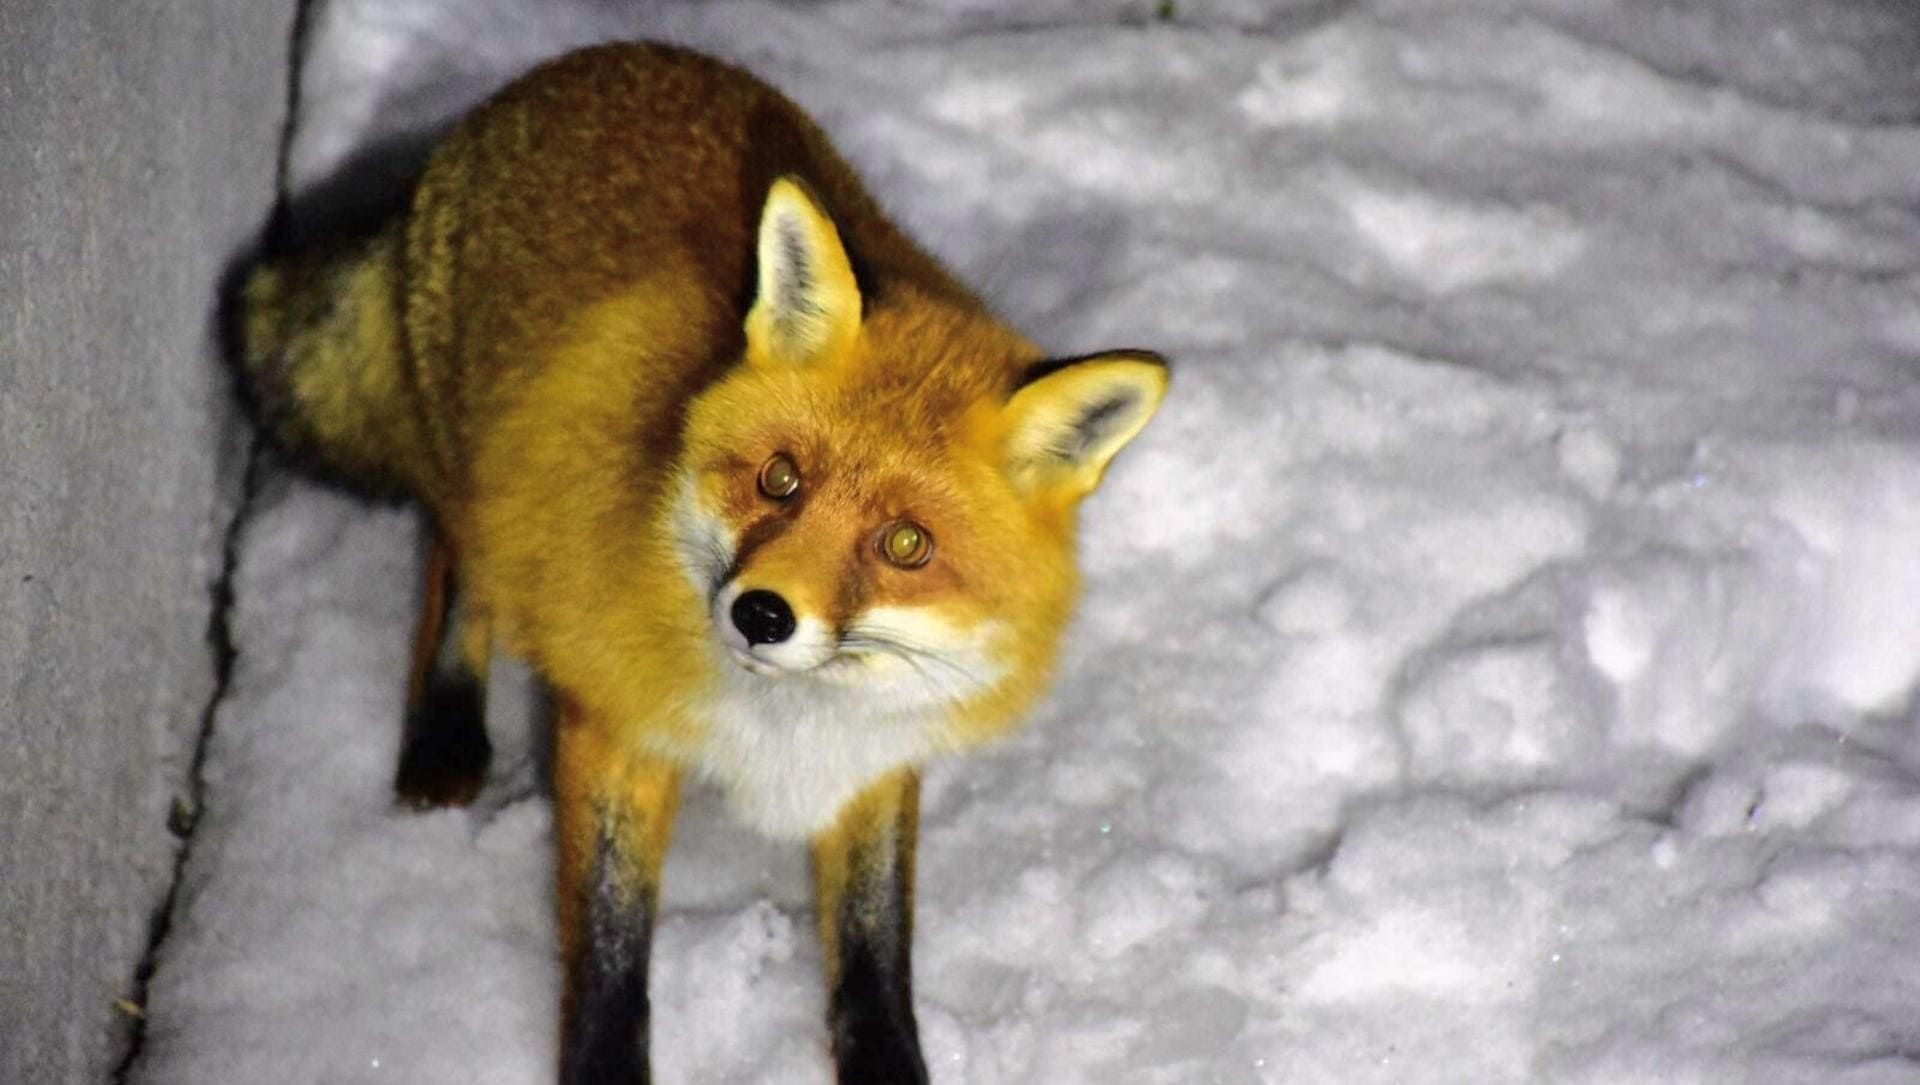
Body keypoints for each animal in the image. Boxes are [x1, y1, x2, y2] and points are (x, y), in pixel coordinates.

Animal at [238, 40, 1166, 1084]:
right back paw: (444, 728)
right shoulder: (616, 720)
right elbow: (610, 947)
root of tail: (577, 65)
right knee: (455, 560)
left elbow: (875, 944)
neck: (785, 718)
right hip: (483, 471)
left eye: (905, 544)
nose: (762, 613)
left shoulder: (878, 752)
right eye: (779, 479)